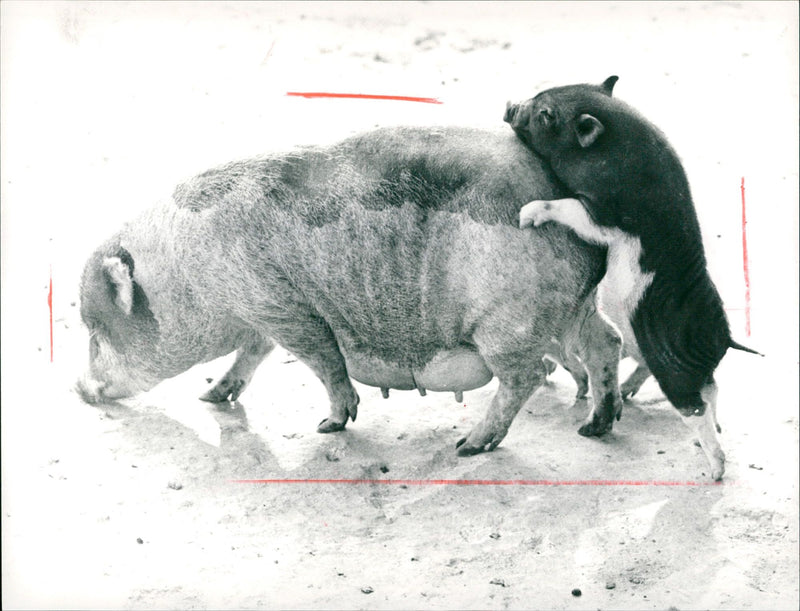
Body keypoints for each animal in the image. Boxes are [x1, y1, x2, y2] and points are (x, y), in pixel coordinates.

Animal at [76, 126, 626, 457]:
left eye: (96, 332)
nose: (78, 388)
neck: (185, 275)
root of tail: (573, 203)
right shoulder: (260, 311)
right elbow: (251, 353)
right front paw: (209, 396)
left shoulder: (277, 303)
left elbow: (322, 358)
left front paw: (328, 426)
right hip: (573, 307)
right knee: (607, 342)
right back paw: (595, 426)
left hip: (507, 320)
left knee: (527, 374)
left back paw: (470, 445)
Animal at [504, 77, 760, 479]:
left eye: (546, 115)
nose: (509, 106)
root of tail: (722, 338)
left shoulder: (603, 214)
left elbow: (567, 207)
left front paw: (526, 215)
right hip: (681, 364)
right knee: (712, 391)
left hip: (673, 368)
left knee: (695, 407)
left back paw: (715, 470)